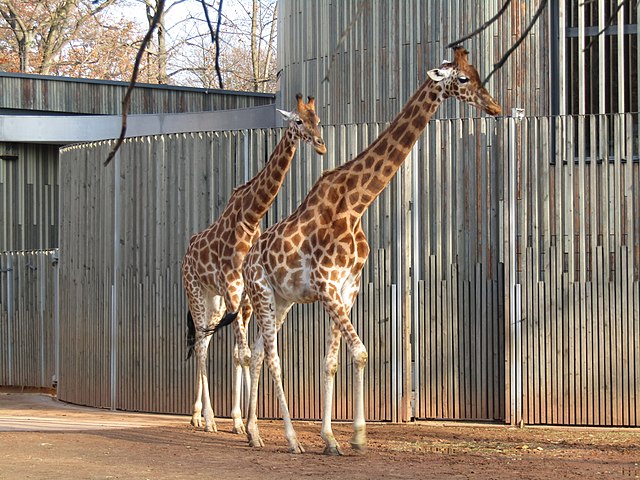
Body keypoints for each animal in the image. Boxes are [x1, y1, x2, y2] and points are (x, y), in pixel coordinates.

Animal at [182, 94, 328, 436]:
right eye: (298, 121)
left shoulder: (244, 296)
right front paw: (242, 422)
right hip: (195, 292)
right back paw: (207, 418)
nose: (320, 146)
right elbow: (246, 353)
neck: (251, 216)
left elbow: (243, 354)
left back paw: (198, 415)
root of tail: (187, 252)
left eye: (318, 120)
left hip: (216, 301)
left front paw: (244, 420)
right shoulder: (235, 288)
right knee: (201, 345)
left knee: (205, 339)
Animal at [239, 47, 500, 456]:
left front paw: (336, 438)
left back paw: (253, 433)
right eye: (461, 79)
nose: (495, 107)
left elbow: (333, 362)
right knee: (273, 357)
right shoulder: (327, 286)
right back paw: (291, 439)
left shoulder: (347, 289)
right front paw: (353, 435)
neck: (355, 204)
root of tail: (248, 259)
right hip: (263, 294)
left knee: (258, 353)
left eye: (476, 73)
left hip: (283, 301)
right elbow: (360, 352)